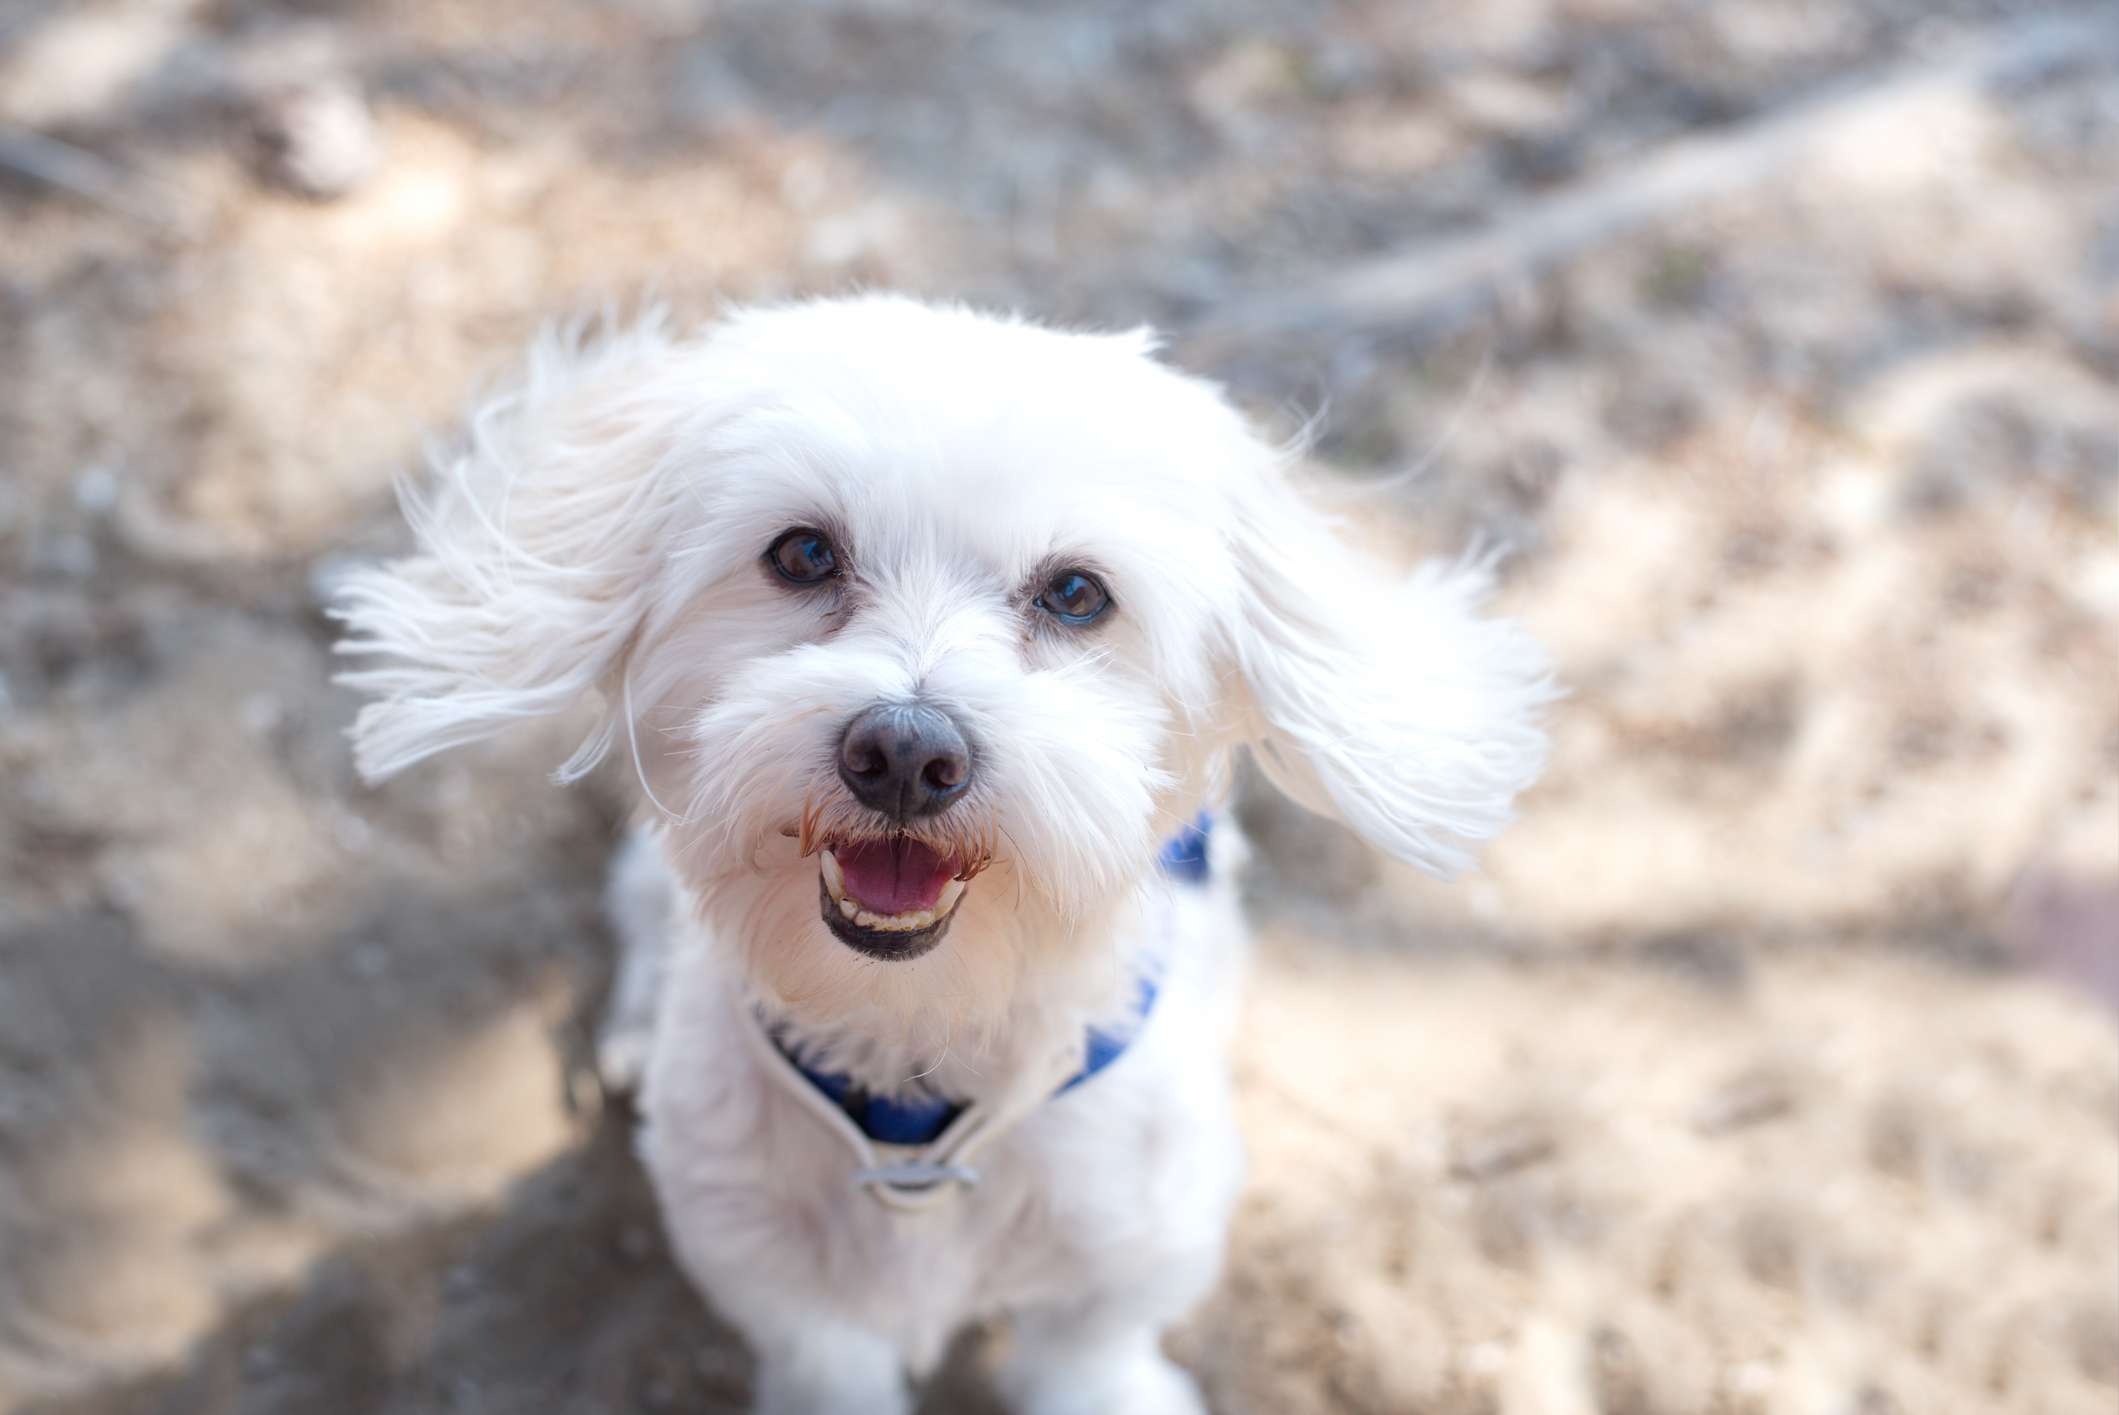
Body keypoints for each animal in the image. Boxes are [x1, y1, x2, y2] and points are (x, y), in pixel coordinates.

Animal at [334, 292, 1559, 1406]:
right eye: (803, 552)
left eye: (1076, 592)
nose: (904, 753)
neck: (916, 1078)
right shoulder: (784, 1293)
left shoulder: (1114, 1282)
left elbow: (1091, 1360)